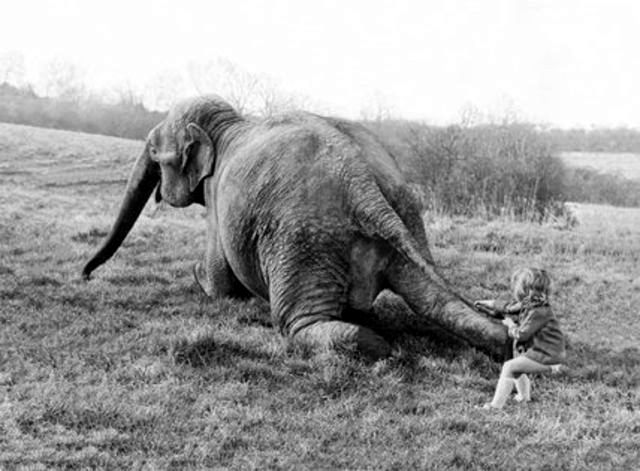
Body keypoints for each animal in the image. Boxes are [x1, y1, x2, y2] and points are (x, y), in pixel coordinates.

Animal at [82, 97, 508, 362]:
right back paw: (501, 339)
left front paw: (198, 276)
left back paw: (370, 341)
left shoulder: (219, 199)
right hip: (406, 215)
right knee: (437, 301)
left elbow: (221, 283)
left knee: (298, 324)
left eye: (155, 154)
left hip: (303, 237)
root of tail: (361, 182)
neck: (228, 124)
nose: (85, 275)